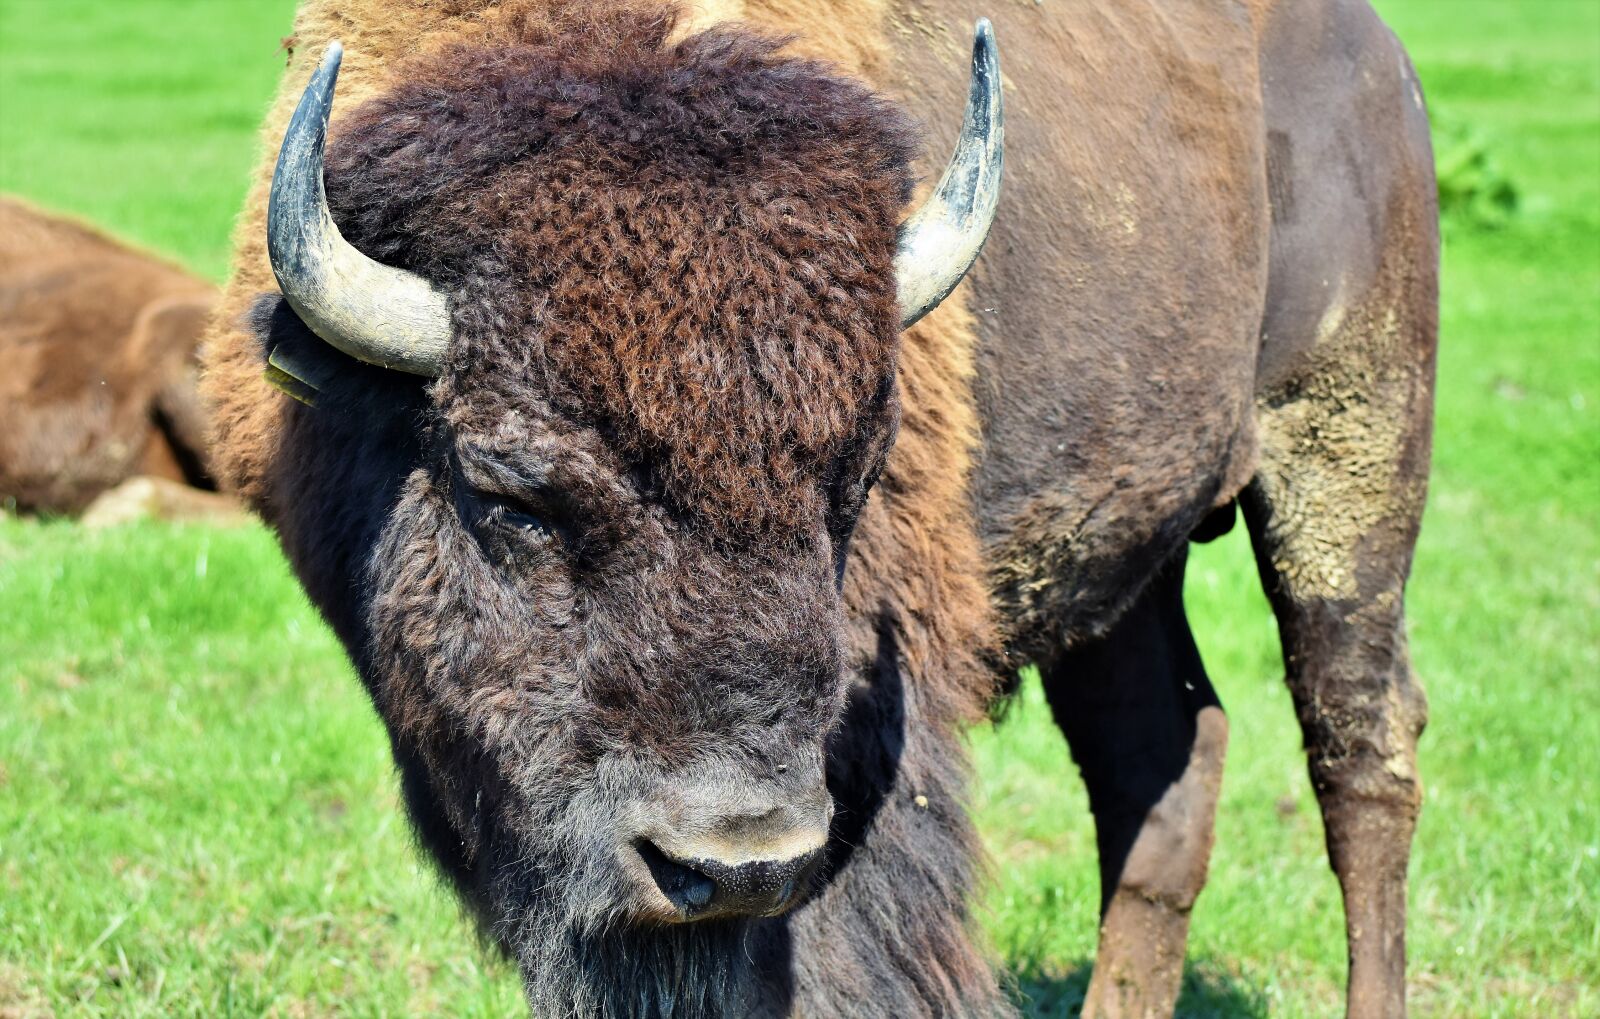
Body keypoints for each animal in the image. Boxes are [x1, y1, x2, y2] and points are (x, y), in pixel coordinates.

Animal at [202, 1, 1436, 1016]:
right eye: (510, 492)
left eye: (858, 474)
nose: (738, 860)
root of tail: (1377, 54)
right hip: (1128, 557)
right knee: (1161, 764)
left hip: (1350, 458)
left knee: (1360, 749)